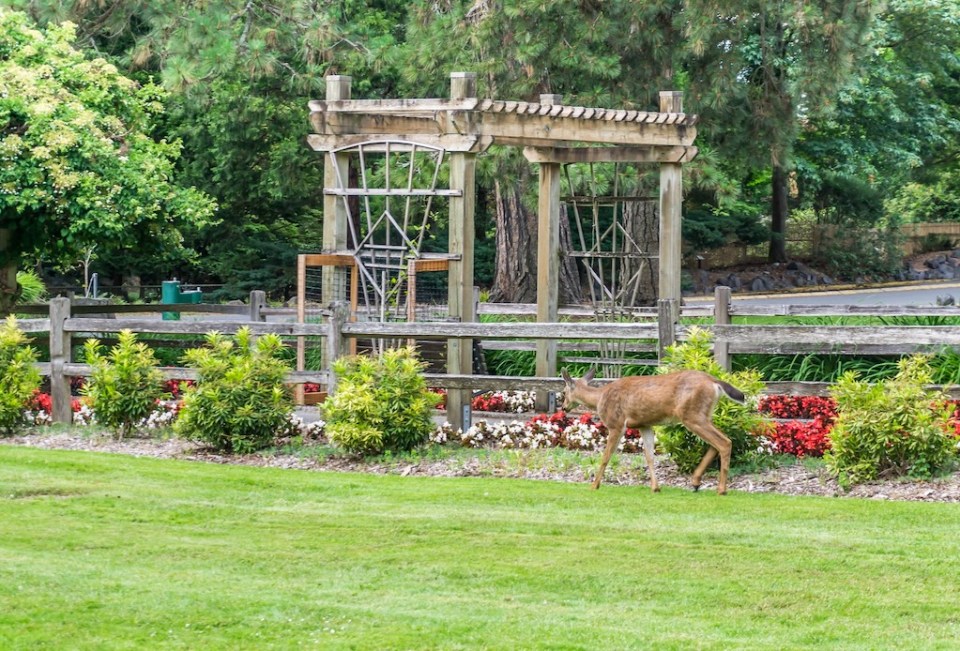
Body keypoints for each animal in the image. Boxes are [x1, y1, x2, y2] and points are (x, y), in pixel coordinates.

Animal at [560, 366, 748, 494]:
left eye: (563, 392)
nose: (563, 407)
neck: (600, 398)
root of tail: (714, 382)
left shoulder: (616, 423)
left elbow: (606, 456)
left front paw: (594, 485)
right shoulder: (645, 425)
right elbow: (649, 456)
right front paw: (655, 487)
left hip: (692, 415)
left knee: (724, 442)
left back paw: (721, 489)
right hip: (703, 414)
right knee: (720, 440)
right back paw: (696, 482)